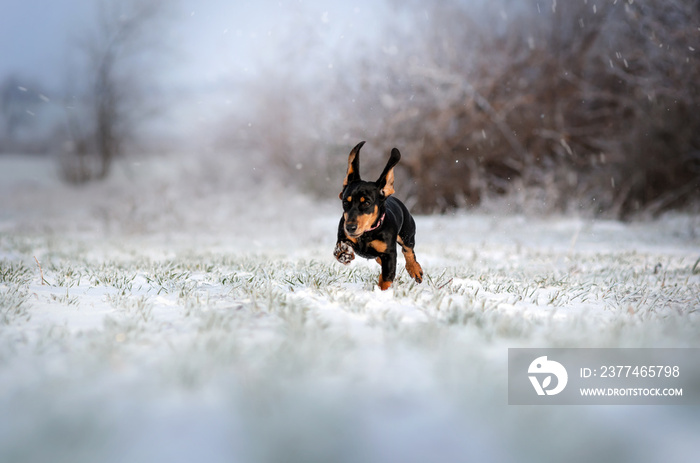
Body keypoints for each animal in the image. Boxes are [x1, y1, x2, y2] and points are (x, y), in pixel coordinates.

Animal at [332, 141, 424, 290]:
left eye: (366, 202)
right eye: (346, 202)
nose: (350, 227)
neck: (367, 233)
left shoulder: (389, 254)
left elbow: (387, 276)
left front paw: (382, 292)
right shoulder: (343, 235)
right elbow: (340, 246)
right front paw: (344, 252)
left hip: (407, 233)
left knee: (408, 251)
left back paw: (415, 270)